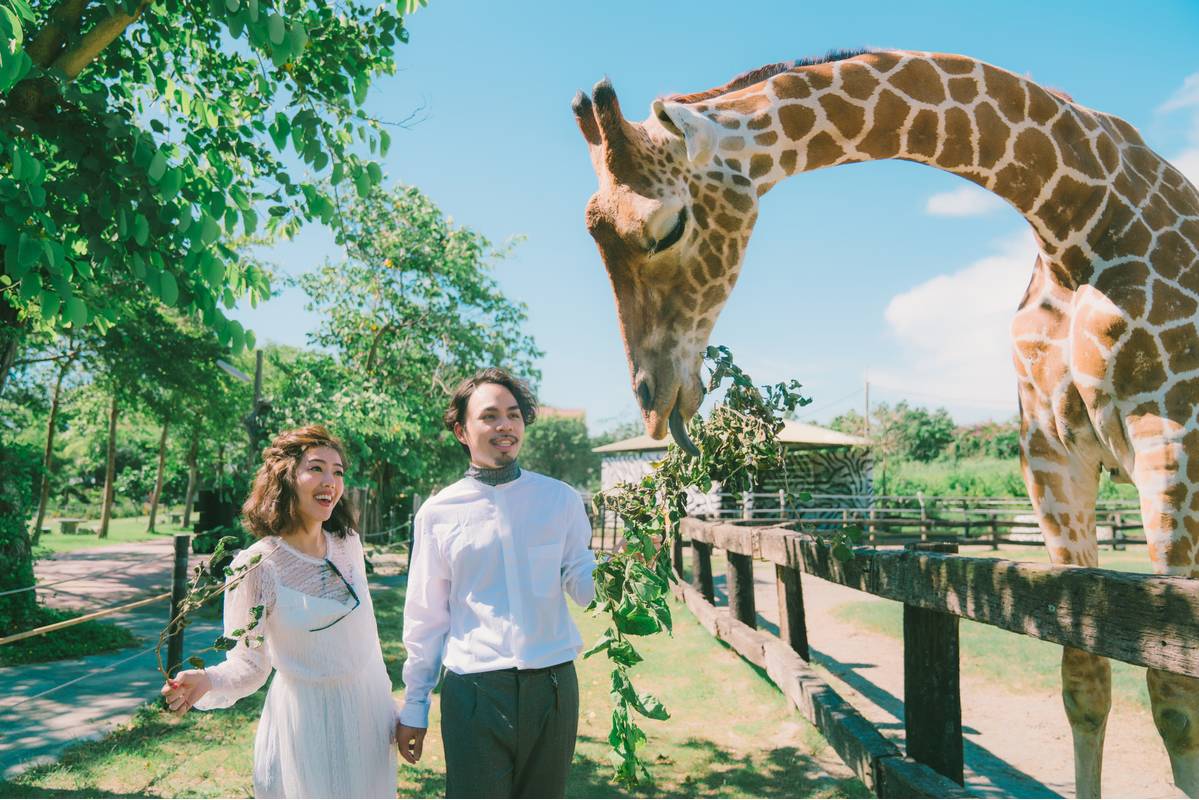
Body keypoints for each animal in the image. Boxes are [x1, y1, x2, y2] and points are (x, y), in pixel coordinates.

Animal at [570, 48, 1199, 796]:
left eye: (667, 228)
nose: (654, 397)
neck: (1073, 210)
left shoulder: (1171, 439)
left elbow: (1174, 701)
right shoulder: (1051, 456)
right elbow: (1085, 678)